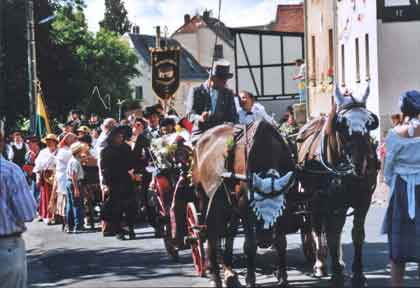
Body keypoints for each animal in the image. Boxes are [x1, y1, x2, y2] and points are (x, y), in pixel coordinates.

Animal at [192, 121, 296, 288]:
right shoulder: (244, 206)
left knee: (229, 233)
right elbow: (249, 245)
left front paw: (283, 277)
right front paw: (250, 279)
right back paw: (213, 272)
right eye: (255, 208)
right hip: (202, 195)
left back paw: (228, 271)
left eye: (278, 211)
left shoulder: (285, 203)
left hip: (230, 205)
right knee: (209, 232)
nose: (265, 241)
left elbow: (281, 241)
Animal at [296, 86, 380, 286]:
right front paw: (336, 274)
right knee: (317, 227)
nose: (361, 163)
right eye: (341, 125)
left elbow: (357, 234)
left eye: (370, 123)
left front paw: (358, 274)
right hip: (314, 201)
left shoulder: (363, 201)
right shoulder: (332, 203)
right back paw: (320, 263)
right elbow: (331, 234)